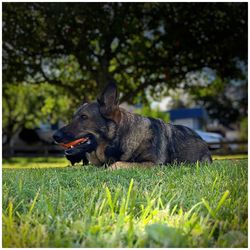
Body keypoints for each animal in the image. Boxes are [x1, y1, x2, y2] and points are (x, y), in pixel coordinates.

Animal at [52, 83, 211, 169]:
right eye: (73, 117)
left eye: (84, 117)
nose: (55, 136)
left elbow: (117, 164)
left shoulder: (154, 164)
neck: (120, 138)